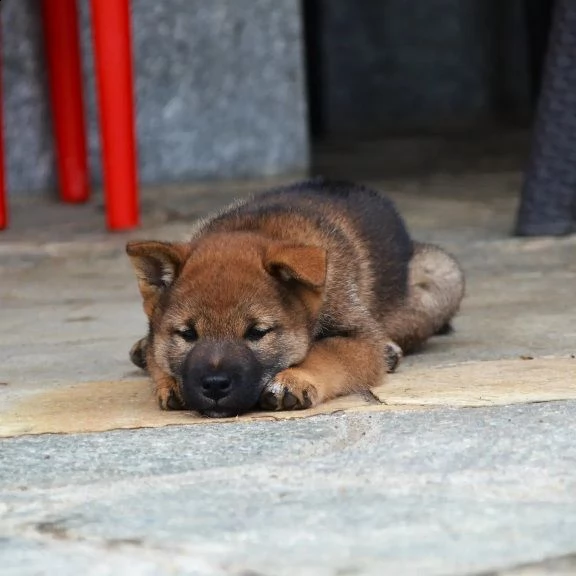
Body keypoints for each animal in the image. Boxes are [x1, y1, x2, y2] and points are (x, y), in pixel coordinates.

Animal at [126, 178, 464, 416]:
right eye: (187, 334)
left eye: (257, 332)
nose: (214, 384)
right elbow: (158, 354)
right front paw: (168, 380)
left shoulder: (360, 337)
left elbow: (326, 353)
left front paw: (294, 379)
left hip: (441, 276)